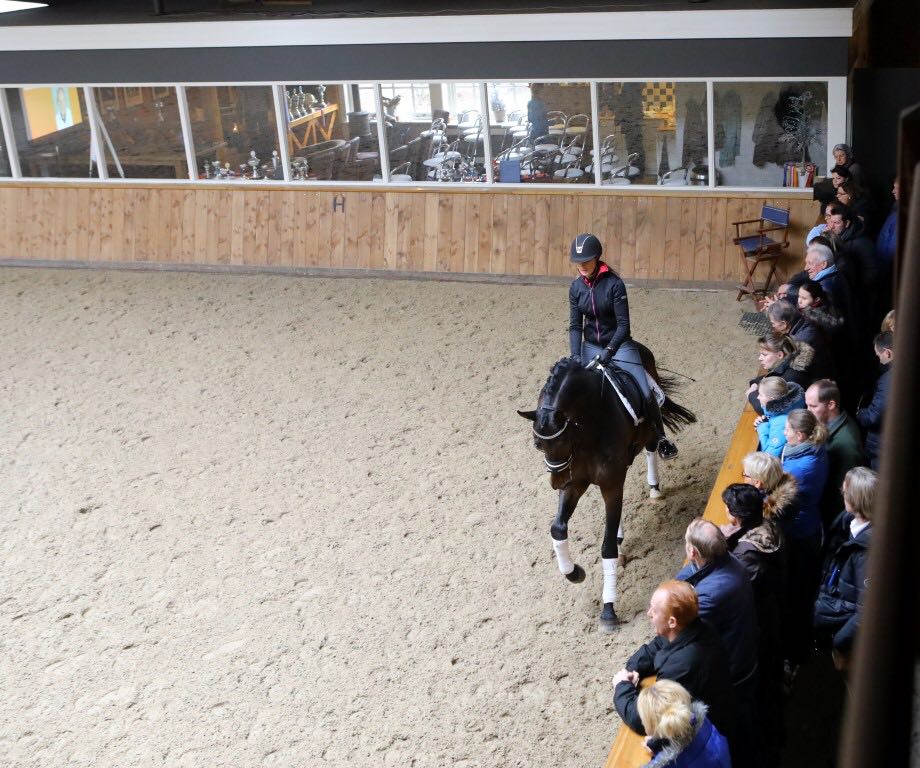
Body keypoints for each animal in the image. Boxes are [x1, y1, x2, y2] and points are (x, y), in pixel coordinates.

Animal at [516, 344, 696, 632]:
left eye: (562, 439)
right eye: (537, 444)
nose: (556, 483)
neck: (590, 425)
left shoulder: (610, 484)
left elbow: (607, 546)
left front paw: (609, 609)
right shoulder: (576, 482)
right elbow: (558, 528)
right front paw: (573, 572)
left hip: (647, 429)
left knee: (652, 445)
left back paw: (655, 488)